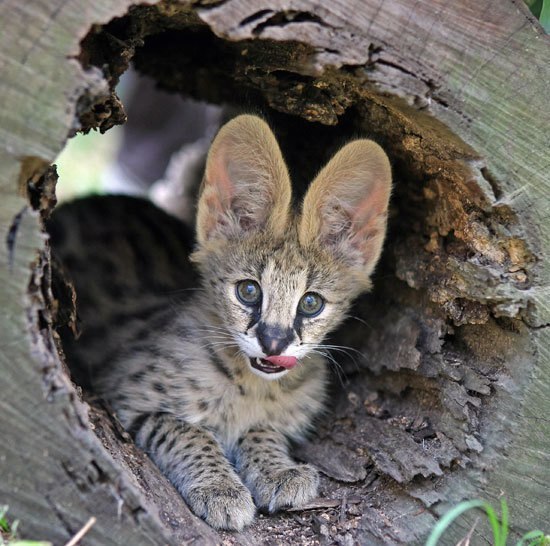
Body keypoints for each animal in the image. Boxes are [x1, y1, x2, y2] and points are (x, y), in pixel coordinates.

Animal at [47, 113, 392, 528]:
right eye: (249, 291)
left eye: (310, 303)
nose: (273, 342)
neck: (252, 385)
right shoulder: (124, 395)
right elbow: (186, 431)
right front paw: (220, 488)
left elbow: (263, 431)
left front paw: (277, 470)